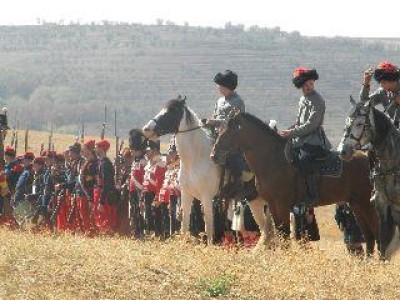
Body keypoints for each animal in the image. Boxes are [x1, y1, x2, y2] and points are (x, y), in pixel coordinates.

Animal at [141, 96, 272, 246]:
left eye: (171, 112)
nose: (146, 129)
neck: (195, 159)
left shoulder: (207, 197)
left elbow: (208, 227)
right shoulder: (186, 195)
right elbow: (184, 226)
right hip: (255, 200)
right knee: (264, 228)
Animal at [211, 112, 380, 255]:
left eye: (228, 131)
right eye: (219, 130)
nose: (214, 155)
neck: (273, 160)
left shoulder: (282, 205)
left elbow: (285, 234)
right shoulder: (272, 204)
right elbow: (280, 232)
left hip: (366, 203)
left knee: (377, 231)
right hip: (356, 204)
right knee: (369, 235)